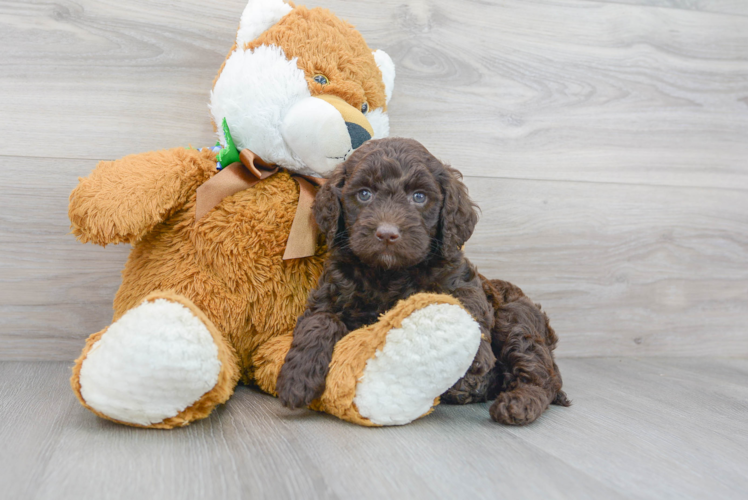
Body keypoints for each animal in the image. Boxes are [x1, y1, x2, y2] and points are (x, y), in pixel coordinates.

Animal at [278, 136, 568, 422]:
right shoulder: (329, 293)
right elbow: (319, 322)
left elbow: (469, 307)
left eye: (419, 196)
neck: (390, 273)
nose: (387, 234)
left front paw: (475, 354)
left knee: (542, 375)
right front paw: (297, 378)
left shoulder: (460, 280)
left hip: (515, 318)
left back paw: (517, 404)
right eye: (364, 194)